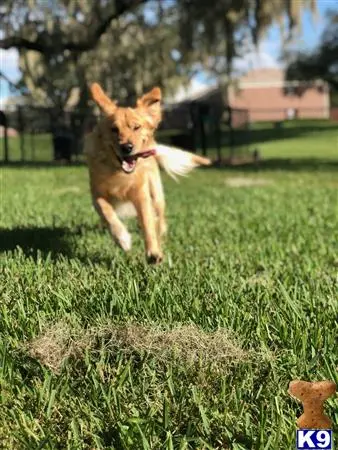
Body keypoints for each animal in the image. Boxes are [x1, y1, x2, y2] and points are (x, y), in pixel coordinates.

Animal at [84, 83, 211, 264]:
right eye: (114, 129)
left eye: (136, 127)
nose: (127, 147)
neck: (119, 172)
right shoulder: (97, 194)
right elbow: (107, 213)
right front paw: (122, 238)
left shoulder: (141, 194)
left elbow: (147, 222)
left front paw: (153, 253)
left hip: (156, 193)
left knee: (158, 215)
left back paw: (161, 231)